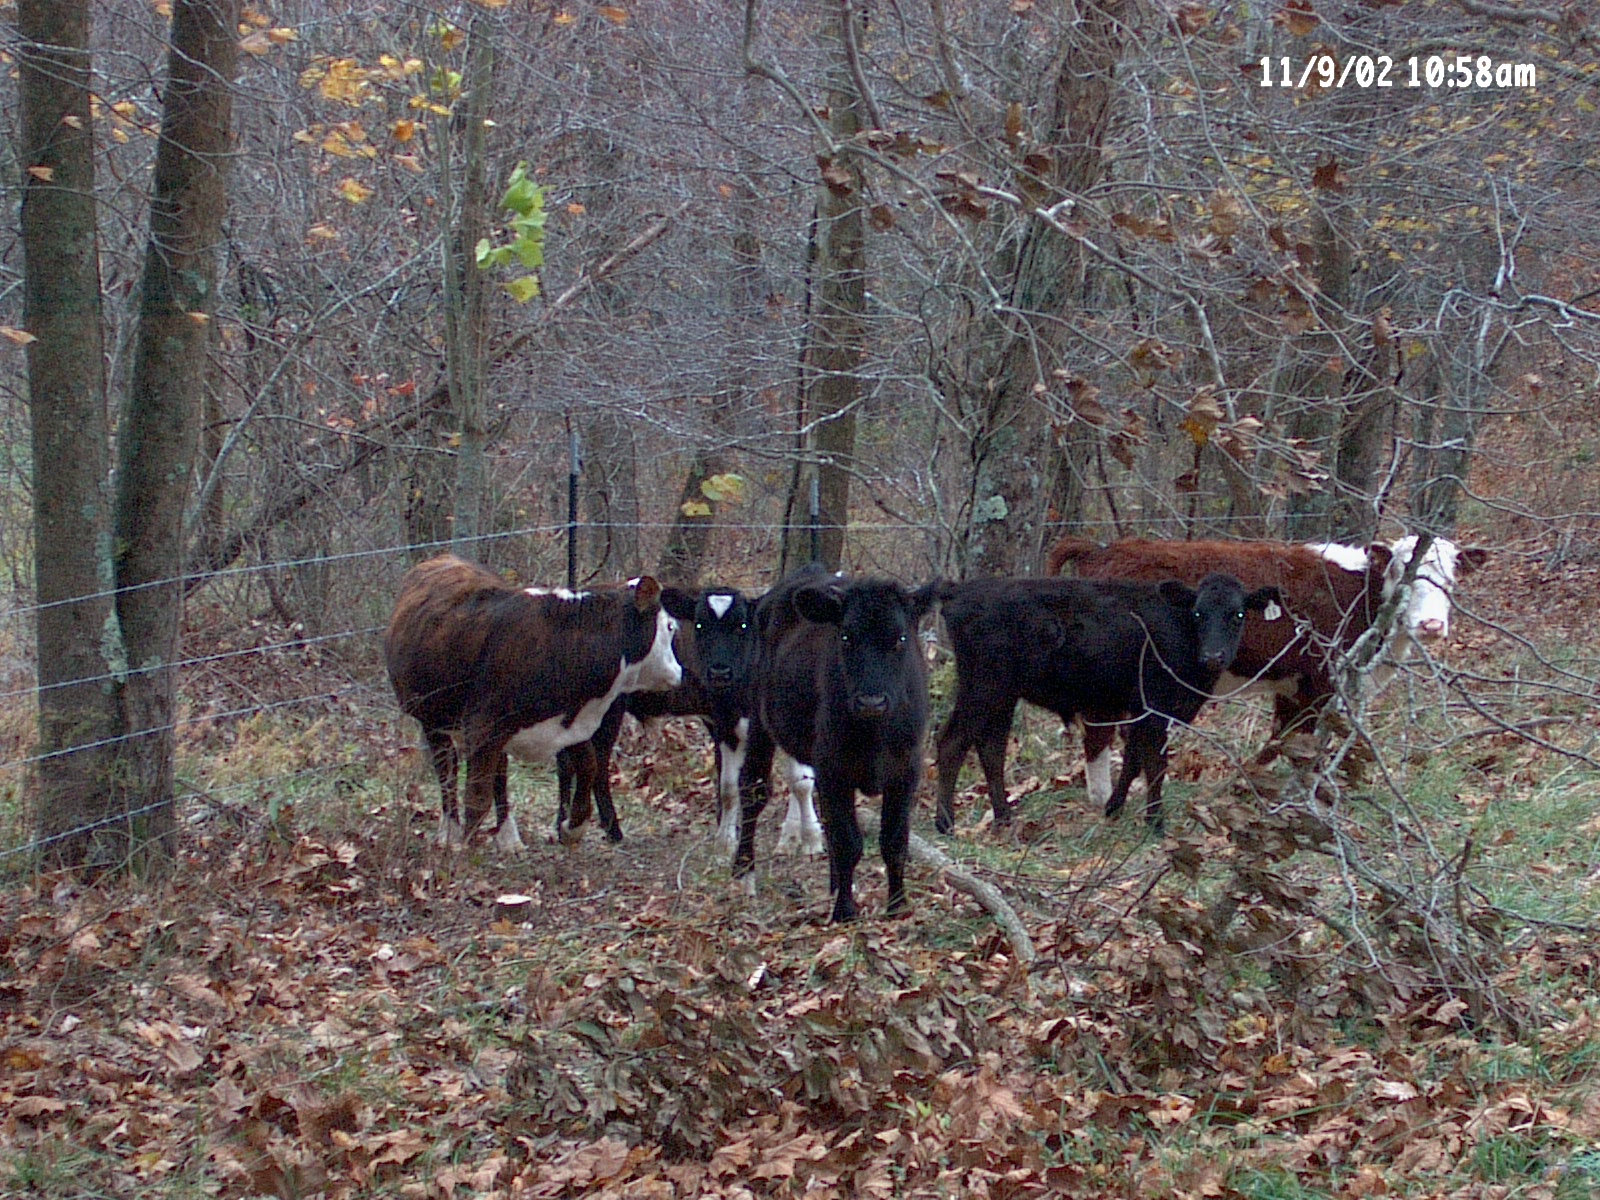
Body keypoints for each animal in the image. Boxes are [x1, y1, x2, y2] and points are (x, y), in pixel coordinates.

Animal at [384, 555, 690, 851]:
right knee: (447, 773)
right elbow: (476, 798)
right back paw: (450, 833)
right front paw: (465, 855)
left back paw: (509, 838)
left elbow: (588, 767)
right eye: (669, 626)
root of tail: (439, 560)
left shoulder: (571, 723)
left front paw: (572, 828)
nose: (679, 673)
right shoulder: (483, 729)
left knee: (499, 777)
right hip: (434, 720)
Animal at [552, 587, 825, 855]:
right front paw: (806, 839)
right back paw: (609, 830)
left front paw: (794, 838)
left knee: (567, 761)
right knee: (594, 763)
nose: (719, 671)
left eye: (742, 625)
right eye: (699, 625)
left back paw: (565, 826)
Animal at [738, 565, 932, 923]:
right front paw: (844, 910)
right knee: (753, 788)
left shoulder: (906, 770)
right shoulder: (835, 769)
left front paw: (897, 905)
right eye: (845, 637)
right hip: (758, 716)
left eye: (900, 638)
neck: (874, 733)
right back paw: (744, 874)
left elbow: (894, 841)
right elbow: (847, 842)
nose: (872, 701)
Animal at [927, 573, 1281, 833]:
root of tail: (960, 590)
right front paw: (1155, 822)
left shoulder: (1140, 710)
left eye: (1237, 615)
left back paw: (1003, 817)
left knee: (991, 748)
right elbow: (1155, 764)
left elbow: (1133, 760)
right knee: (952, 741)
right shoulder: (1155, 707)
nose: (1213, 656)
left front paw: (1114, 808)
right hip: (983, 688)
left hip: (1002, 694)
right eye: (1198, 613)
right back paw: (945, 823)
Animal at [1043, 534, 1486, 802]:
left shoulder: (1293, 685)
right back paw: (1104, 799)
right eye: (1406, 576)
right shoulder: (1321, 680)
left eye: (1450, 579)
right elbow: (1307, 747)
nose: (1432, 624)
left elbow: (1283, 739)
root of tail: (1104, 550)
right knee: (1098, 733)